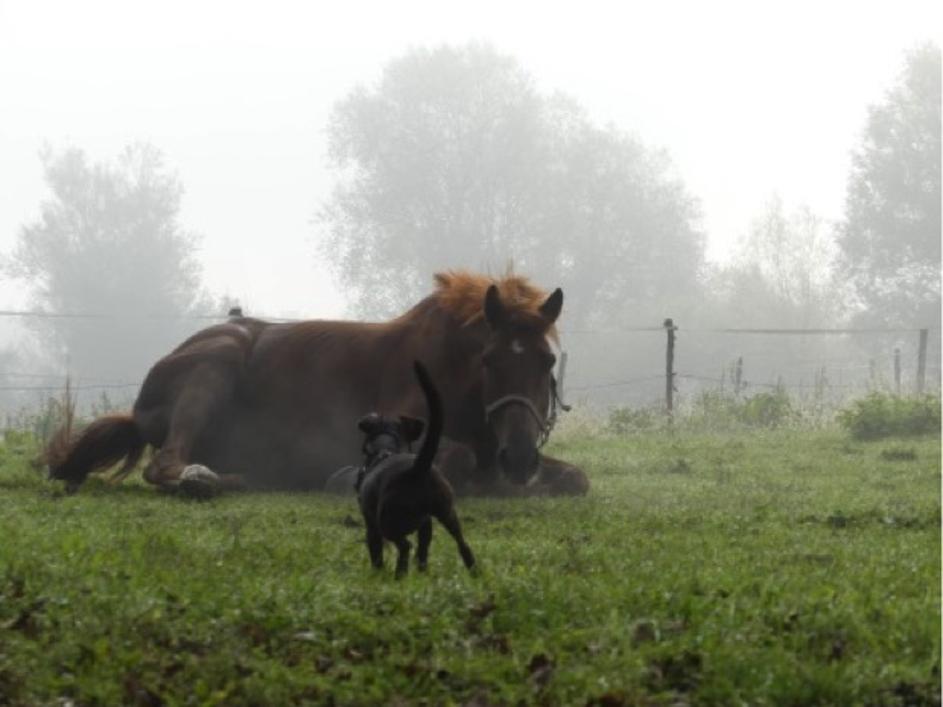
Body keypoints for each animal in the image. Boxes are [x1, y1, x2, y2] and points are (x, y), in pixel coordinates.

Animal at [48, 272, 592, 498]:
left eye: (546, 361)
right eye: (490, 360)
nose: (518, 458)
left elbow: (576, 478)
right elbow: (455, 459)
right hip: (215, 364)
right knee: (166, 465)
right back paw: (211, 481)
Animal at [362, 362, 480, 580]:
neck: (387, 450)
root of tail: (417, 469)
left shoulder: (371, 525)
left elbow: (376, 551)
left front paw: (377, 573)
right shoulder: (426, 524)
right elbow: (424, 548)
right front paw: (422, 571)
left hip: (387, 522)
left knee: (405, 546)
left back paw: (400, 574)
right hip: (448, 513)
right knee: (463, 544)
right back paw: (474, 571)